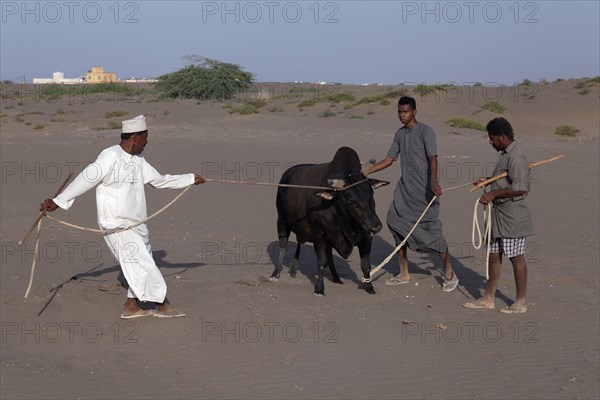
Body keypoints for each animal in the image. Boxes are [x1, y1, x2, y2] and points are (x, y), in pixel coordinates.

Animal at [270, 147, 390, 294]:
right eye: (351, 201)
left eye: (371, 194)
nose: (376, 226)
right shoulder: (319, 235)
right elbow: (322, 263)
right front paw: (319, 289)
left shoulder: (366, 237)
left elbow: (365, 265)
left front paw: (369, 287)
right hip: (281, 222)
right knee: (284, 247)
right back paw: (275, 274)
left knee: (330, 258)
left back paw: (337, 278)